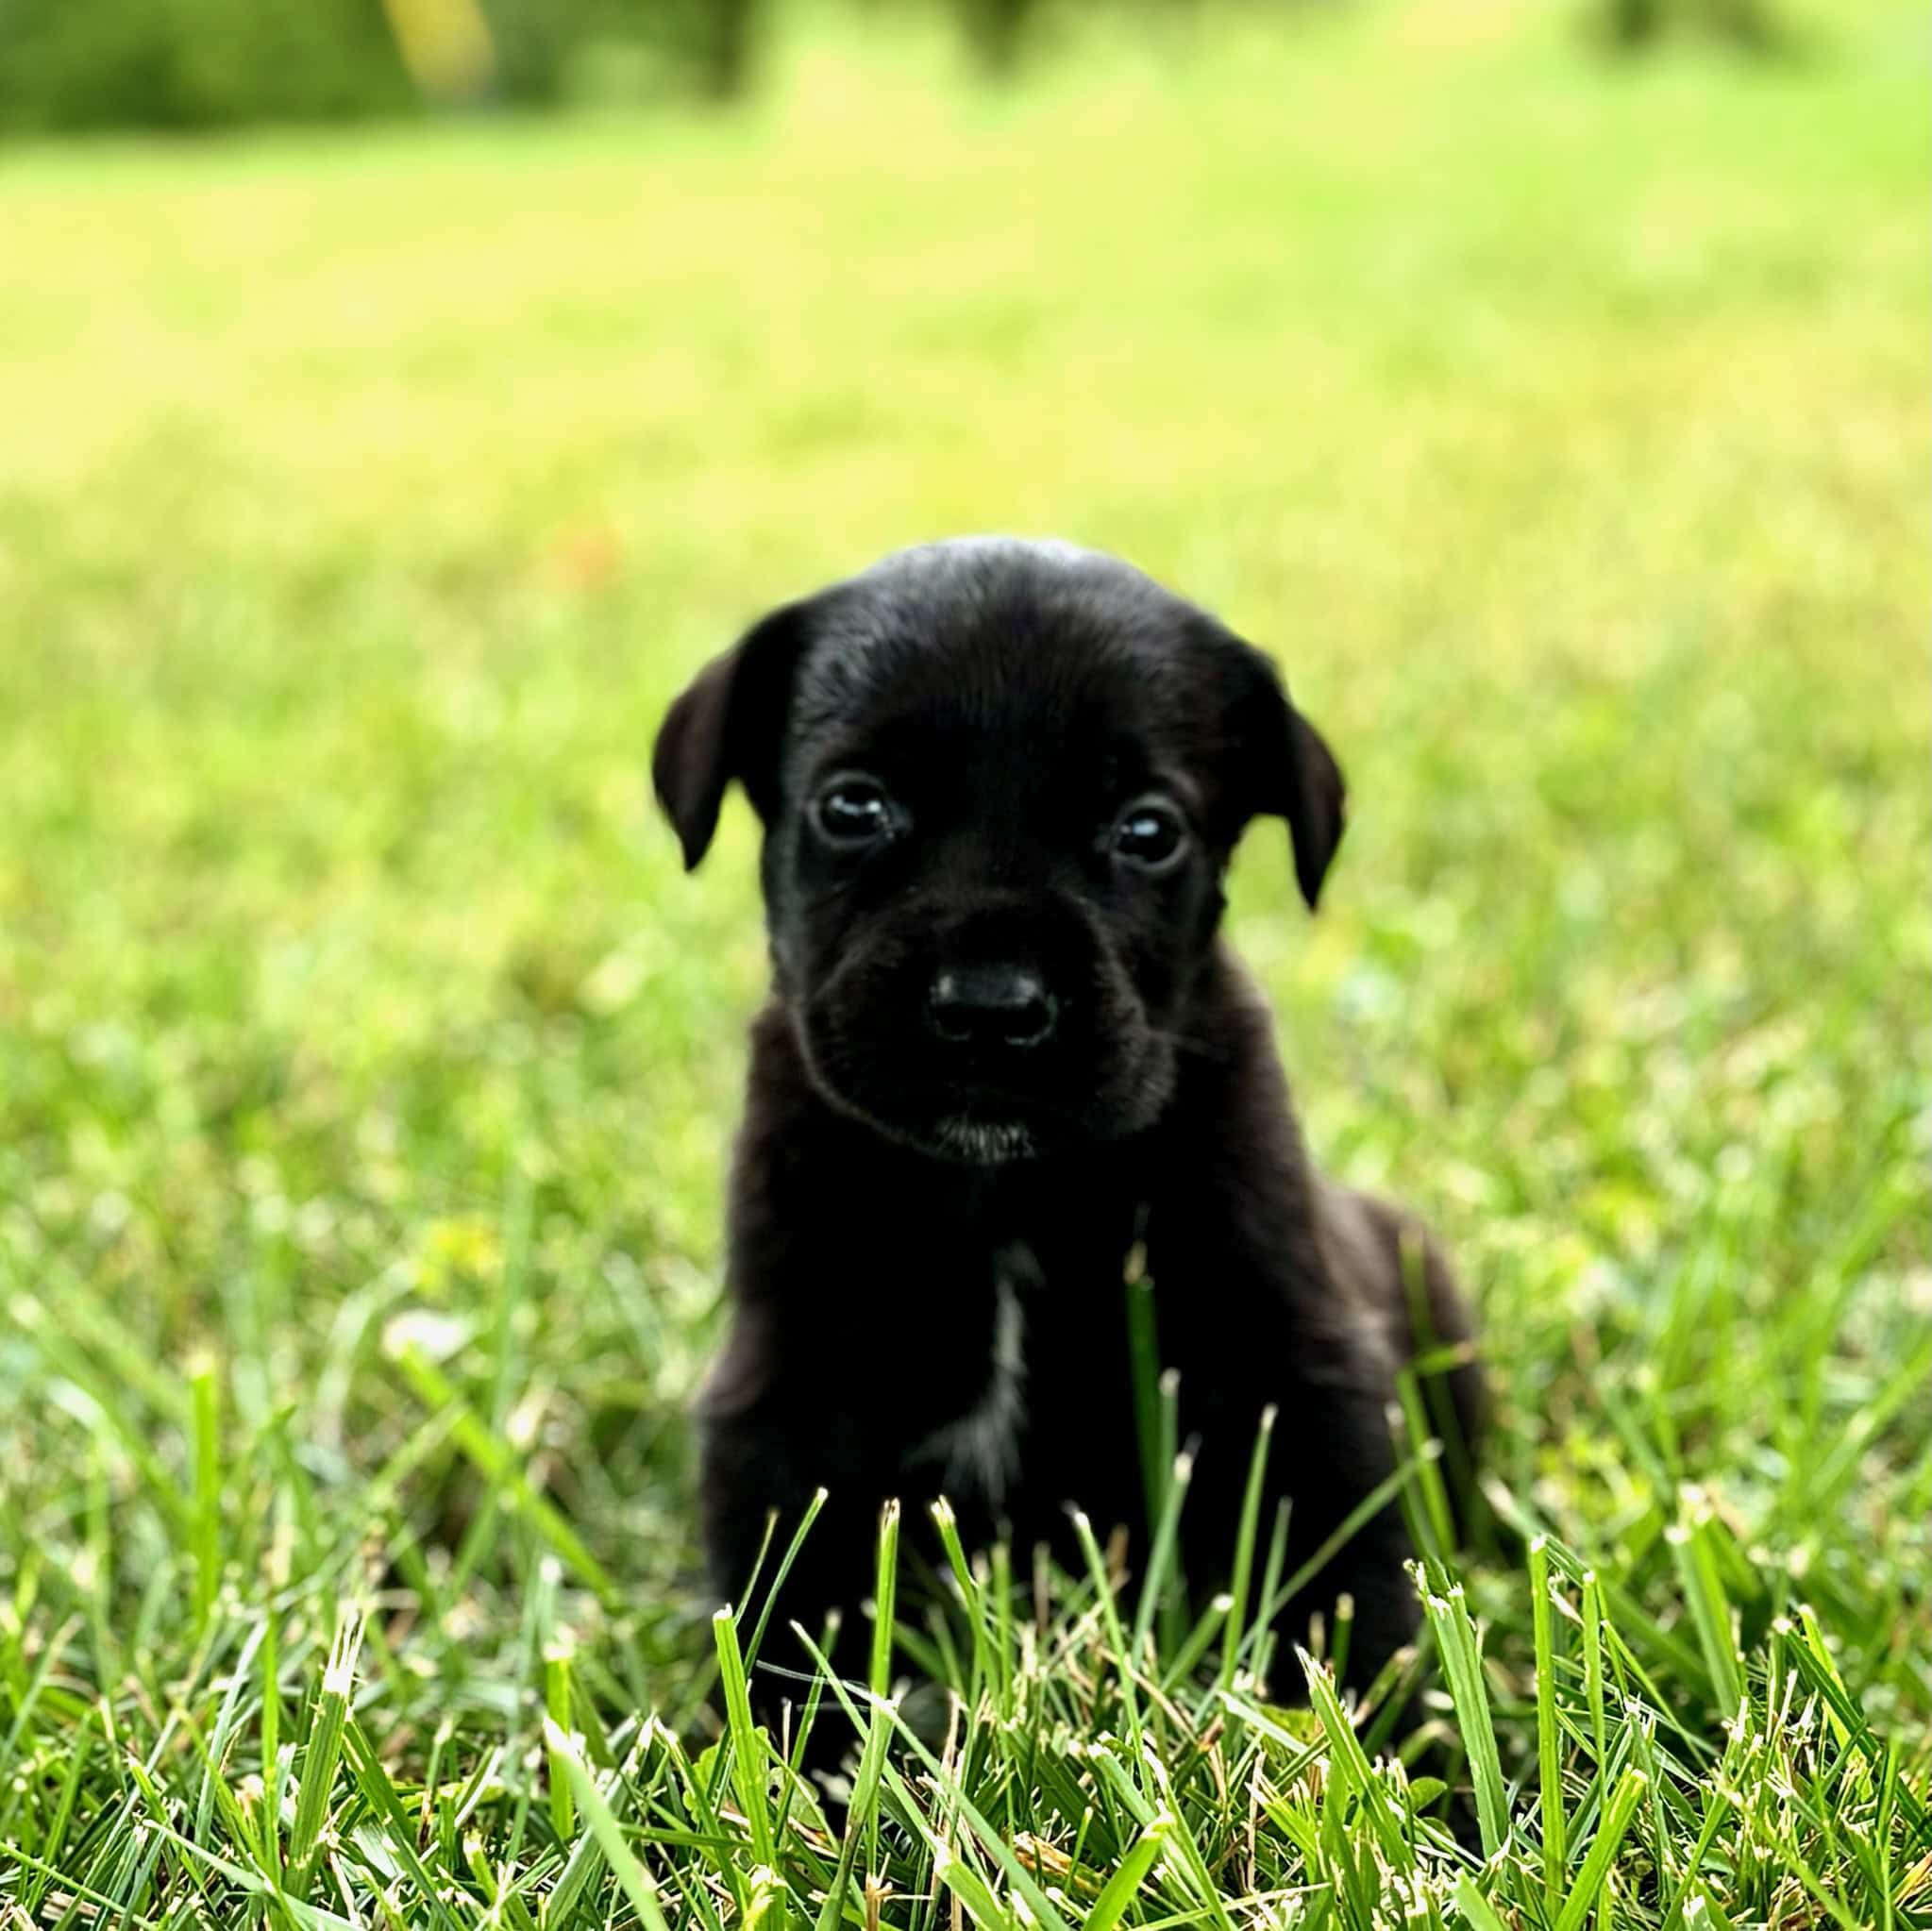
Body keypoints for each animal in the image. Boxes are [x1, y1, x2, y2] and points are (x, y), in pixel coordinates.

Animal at [652, 540, 1475, 1738]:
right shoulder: (795, 1394)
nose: (991, 1007)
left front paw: (1396, 1750)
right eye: (853, 807)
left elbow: (1342, 1575)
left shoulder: (1285, 1362)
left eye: (1148, 831)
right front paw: (810, 1756)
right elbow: (796, 1608)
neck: (1000, 1187)